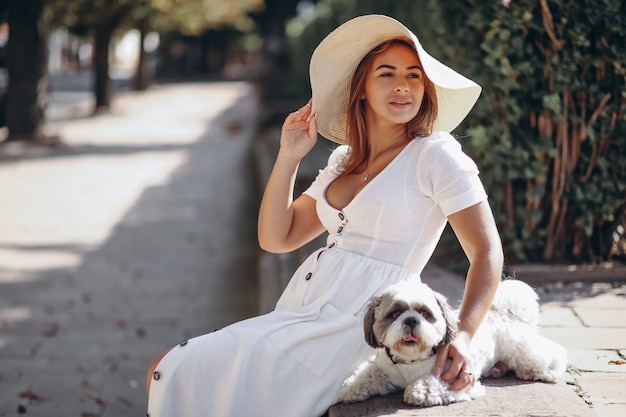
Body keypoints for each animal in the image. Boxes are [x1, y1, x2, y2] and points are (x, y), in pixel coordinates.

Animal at [336, 278, 564, 404]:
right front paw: (351, 387)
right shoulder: (382, 368)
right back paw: (498, 369)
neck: (411, 361)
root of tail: (501, 313)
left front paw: (418, 391)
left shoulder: (460, 380)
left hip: (524, 351)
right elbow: (366, 375)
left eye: (425, 314)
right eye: (395, 313)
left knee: (552, 355)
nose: (411, 320)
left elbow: (429, 384)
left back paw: (547, 372)